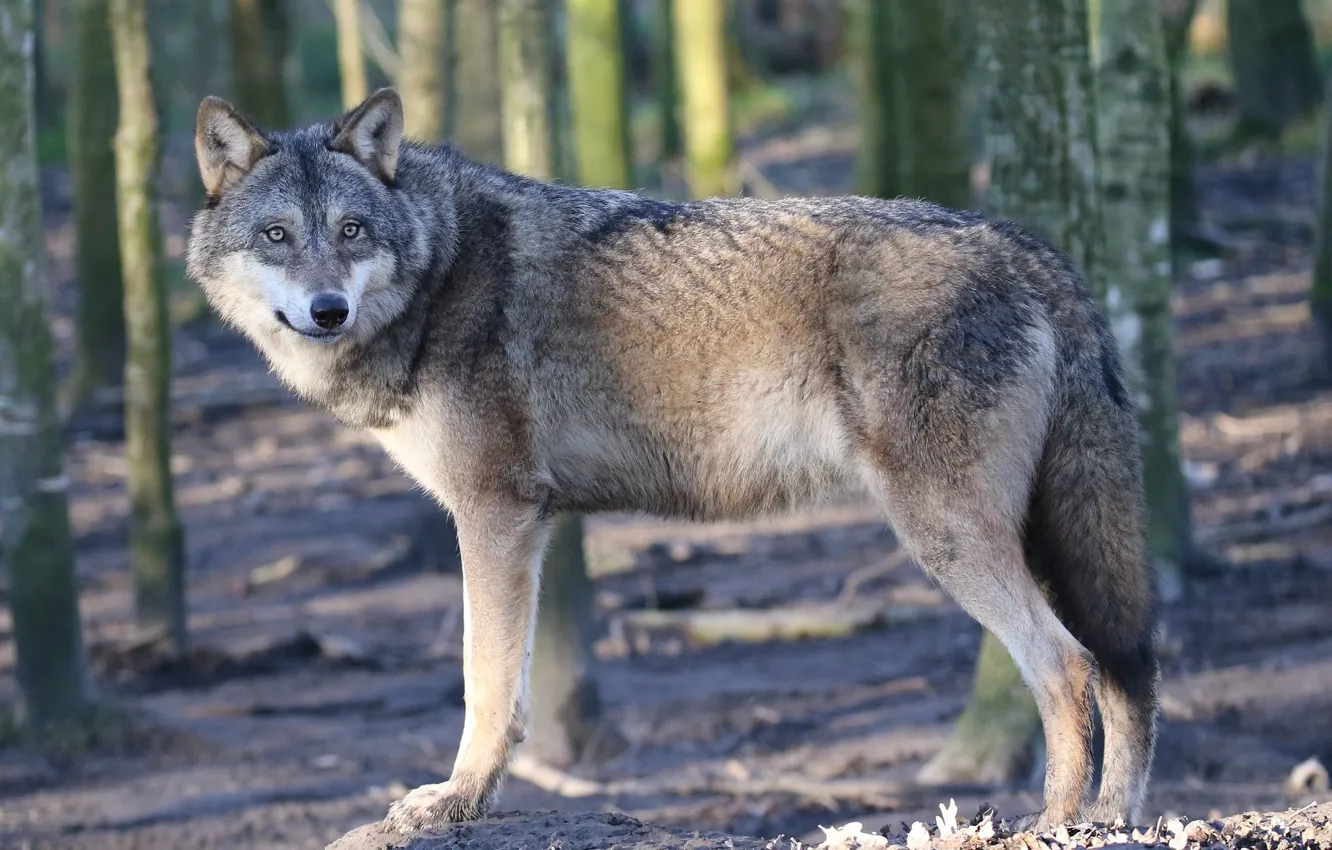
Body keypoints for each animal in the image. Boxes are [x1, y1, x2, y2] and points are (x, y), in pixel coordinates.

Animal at [185, 88, 1159, 834]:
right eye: (277, 236)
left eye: (351, 231)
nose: (327, 310)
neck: (441, 268)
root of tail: (1027, 247)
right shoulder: (525, 524)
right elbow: (507, 689)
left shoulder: (495, 514)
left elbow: (484, 687)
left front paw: (457, 801)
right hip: (1038, 539)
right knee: (1123, 670)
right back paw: (1110, 821)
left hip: (949, 536)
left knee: (1068, 667)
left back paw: (1053, 825)